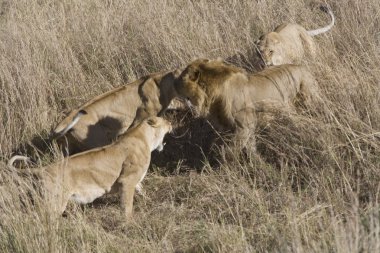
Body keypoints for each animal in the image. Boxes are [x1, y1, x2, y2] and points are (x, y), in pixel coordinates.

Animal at [8, 116, 171, 217]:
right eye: (165, 120)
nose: (171, 124)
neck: (144, 137)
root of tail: (44, 169)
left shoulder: (133, 181)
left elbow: (141, 190)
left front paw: (148, 201)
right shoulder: (126, 180)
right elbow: (127, 205)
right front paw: (129, 223)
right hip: (55, 202)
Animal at [174, 59, 318, 149]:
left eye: (181, 78)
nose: (174, 83)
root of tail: (302, 67)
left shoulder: (244, 125)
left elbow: (230, 153)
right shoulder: (247, 126)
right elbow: (251, 147)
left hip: (308, 99)